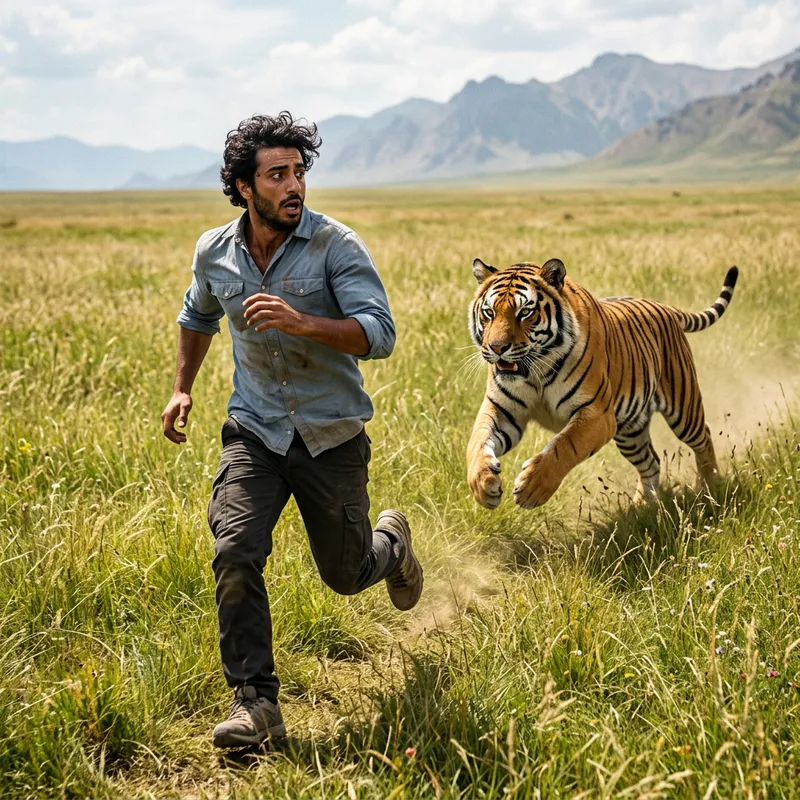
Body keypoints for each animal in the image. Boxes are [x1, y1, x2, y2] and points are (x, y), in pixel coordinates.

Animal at [466, 257, 738, 509]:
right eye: (489, 312)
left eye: (525, 313)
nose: (497, 348)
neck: (535, 372)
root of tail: (664, 307)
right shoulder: (502, 410)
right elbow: (477, 442)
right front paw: (483, 485)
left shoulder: (597, 415)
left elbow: (564, 446)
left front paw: (531, 488)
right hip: (630, 430)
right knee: (651, 462)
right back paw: (641, 507)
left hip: (683, 409)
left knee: (704, 437)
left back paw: (710, 486)